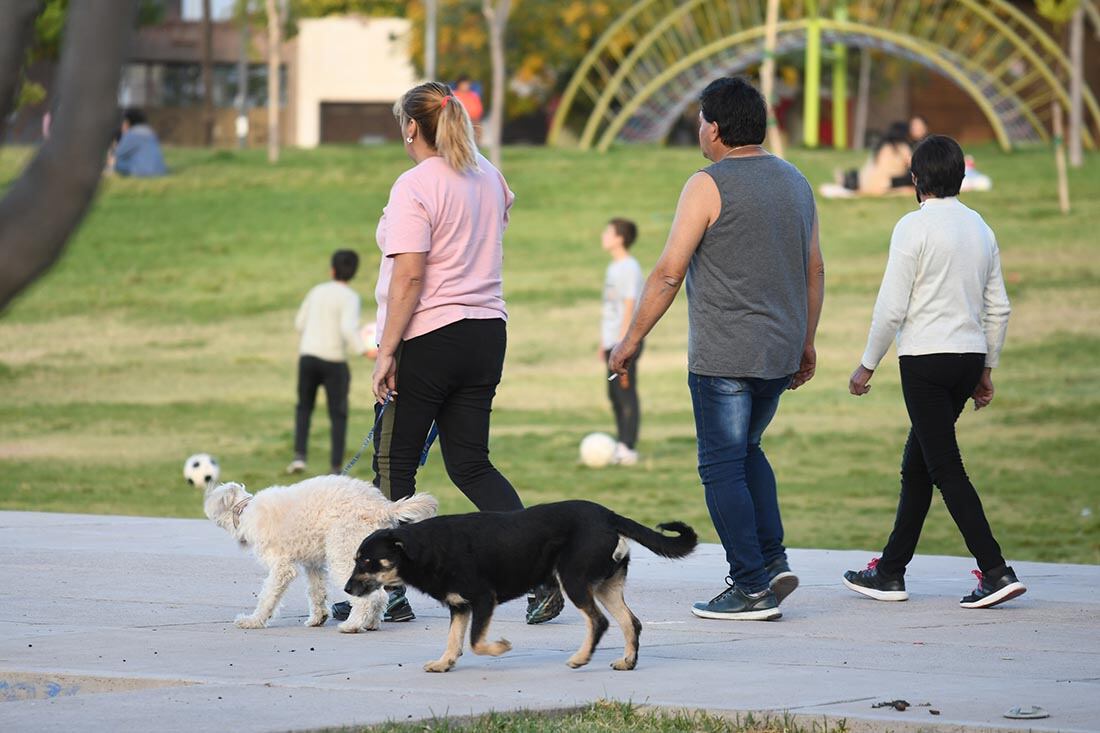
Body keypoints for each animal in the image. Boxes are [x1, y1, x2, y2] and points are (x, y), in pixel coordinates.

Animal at [204, 473, 435, 629]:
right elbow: (316, 591)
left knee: (370, 597)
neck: (246, 511)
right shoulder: (313, 565)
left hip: (344, 554)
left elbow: (268, 596)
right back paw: (371, 623)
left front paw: (253, 621)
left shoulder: (281, 568)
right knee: (378, 596)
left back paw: (352, 626)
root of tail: (381, 507)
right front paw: (318, 618)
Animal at [343, 499, 695, 669]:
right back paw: (628, 662)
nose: (346, 590)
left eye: (367, 561)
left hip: (574, 579)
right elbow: (454, 640)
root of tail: (609, 516)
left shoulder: (483, 599)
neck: (426, 548)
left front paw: (501, 647)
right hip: (605, 586)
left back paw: (581, 658)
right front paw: (444, 663)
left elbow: (475, 641)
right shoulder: (460, 605)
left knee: (599, 622)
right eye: (357, 559)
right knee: (630, 623)